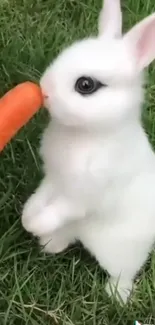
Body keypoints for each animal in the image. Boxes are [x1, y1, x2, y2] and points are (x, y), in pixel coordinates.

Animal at [21, 0, 155, 304]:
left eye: (85, 85)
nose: (44, 90)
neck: (88, 133)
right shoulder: (53, 179)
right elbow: (40, 197)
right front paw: (28, 217)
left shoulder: (83, 196)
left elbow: (61, 209)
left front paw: (34, 225)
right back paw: (50, 245)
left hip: (120, 253)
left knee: (123, 273)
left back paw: (117, 296)